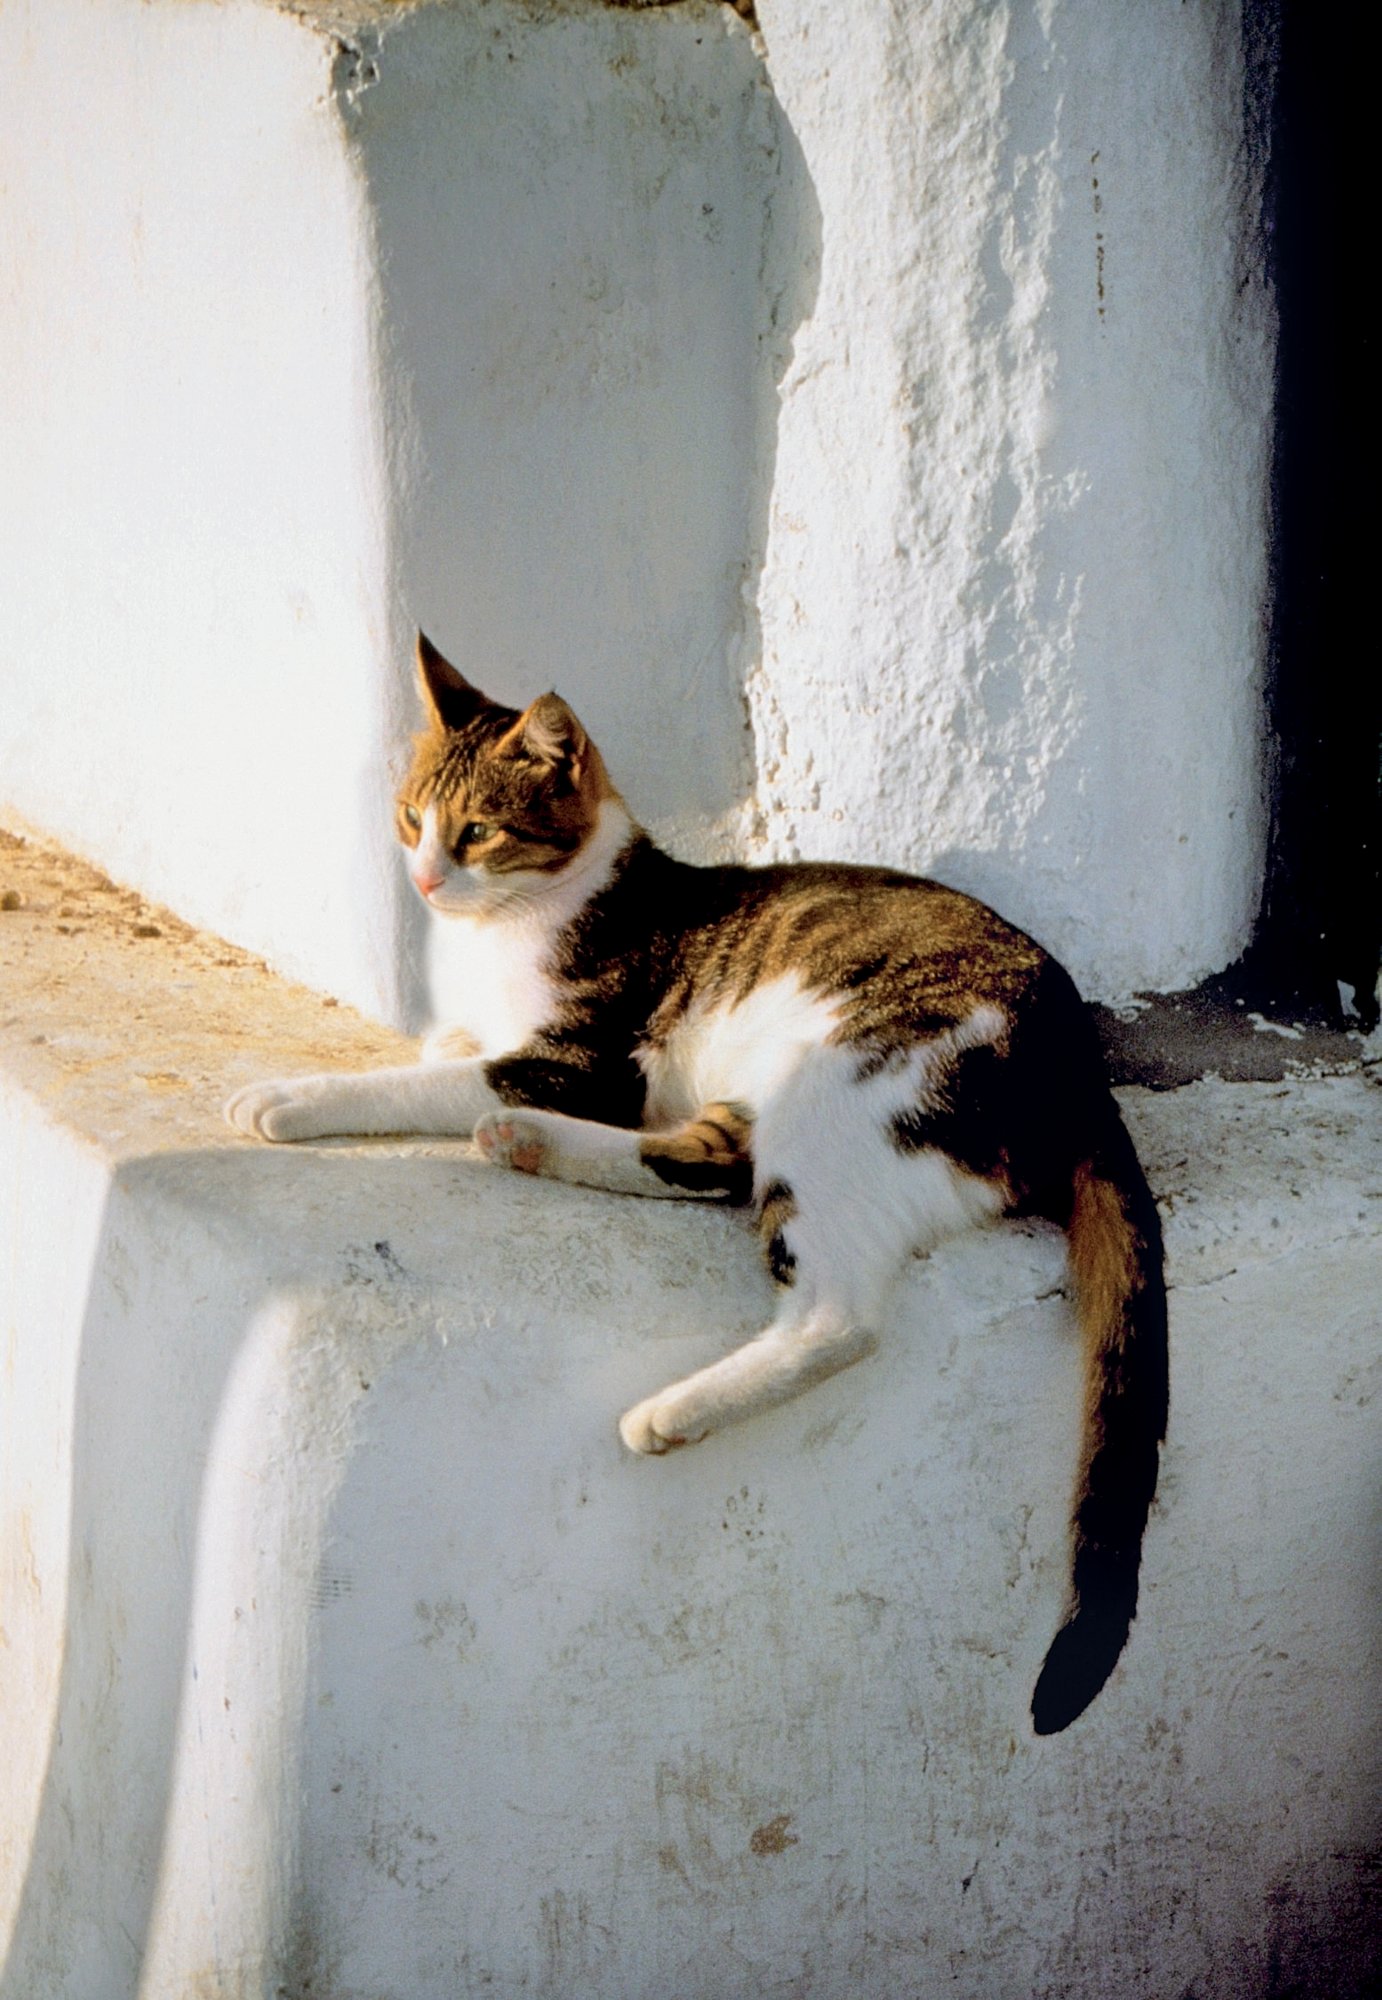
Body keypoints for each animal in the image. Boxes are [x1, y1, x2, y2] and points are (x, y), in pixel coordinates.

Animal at [227, 628, 1168, 1736]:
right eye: (411, 817)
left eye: (478, 832)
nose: (420, 881)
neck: (520, 922)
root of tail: (1085, 1070)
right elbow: (443, 1046)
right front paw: (440, 1043)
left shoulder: (584, 1065)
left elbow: (422, 1080)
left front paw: (290, 1096)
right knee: (717, 1166)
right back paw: (526, 1144)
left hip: (842, 1090)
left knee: (838, 1314)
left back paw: (671, 1410)